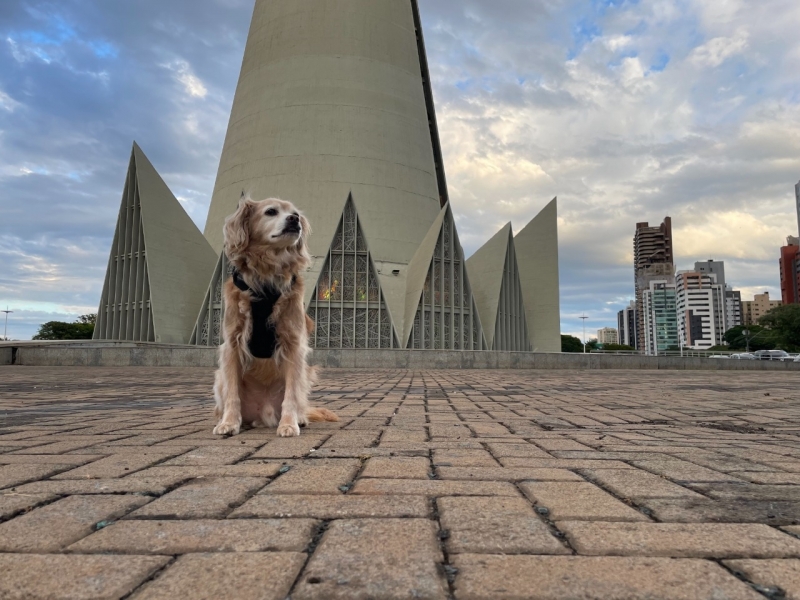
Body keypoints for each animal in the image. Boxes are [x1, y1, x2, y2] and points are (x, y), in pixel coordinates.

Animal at [211, 197, 336, 436]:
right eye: (271, 211)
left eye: (295, 213)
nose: (295, 219)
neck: (266, 273)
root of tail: (264, 412)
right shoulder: (231, 344)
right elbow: (233, 393)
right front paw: (229, 423)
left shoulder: (294, 343)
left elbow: (291, 396)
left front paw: (288, 424)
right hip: (218, 377)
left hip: (305, 374)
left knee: (298, 399)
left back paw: (299, 418)